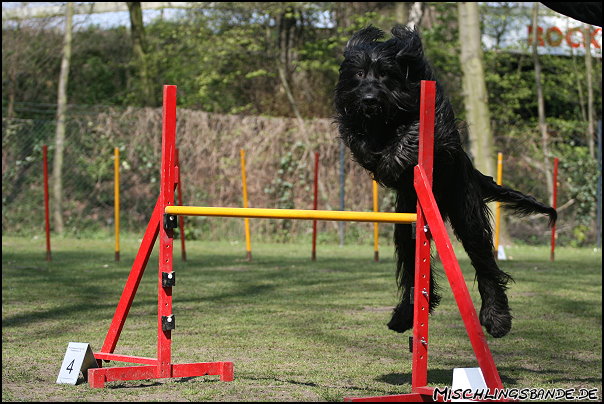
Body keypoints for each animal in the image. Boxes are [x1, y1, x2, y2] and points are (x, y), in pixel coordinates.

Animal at [336, 25, 556, 340]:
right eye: (359, 73)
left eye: (385, 73)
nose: (368, 99)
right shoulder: (351, 114)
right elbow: (356, 135)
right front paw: (375, 154)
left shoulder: (438, 119)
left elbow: (415, 130)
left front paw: (392, 159)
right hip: (411, 219)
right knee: (413, 262)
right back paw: (405, 315)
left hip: (465, 208)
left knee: (485, 262)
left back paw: (497, 317)